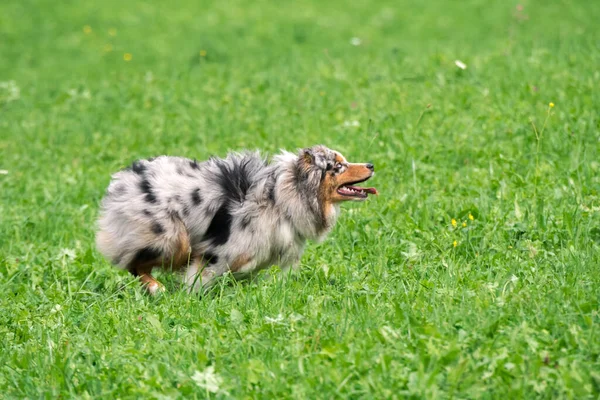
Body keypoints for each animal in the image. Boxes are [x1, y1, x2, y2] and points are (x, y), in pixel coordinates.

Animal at [96, 145, 378, 294]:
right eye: (338, 167)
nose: (372, 164)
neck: (280, 198)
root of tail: (122, 181)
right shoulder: (216, 253)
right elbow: (200, 279)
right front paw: (191, 296)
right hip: (172, 238)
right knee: (134, 265)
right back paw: (157, 288)